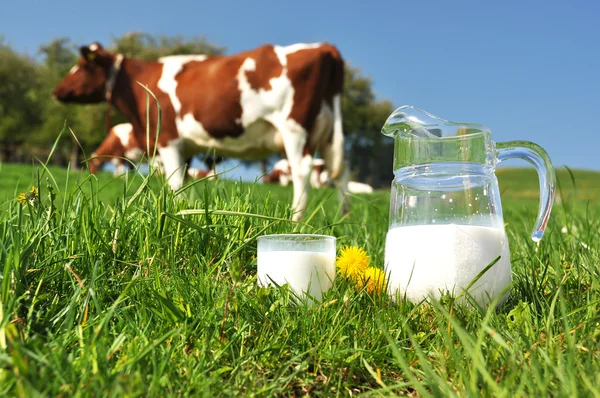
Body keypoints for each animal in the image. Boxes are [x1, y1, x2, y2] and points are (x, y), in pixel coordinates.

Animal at [55, 42, 352, 221]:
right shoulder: (184, 148)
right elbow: (184, 183)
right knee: (341, 173)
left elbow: (174, 183)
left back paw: (294, 220)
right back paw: (343, 219)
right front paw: (187, 211)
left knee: (302, 171)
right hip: (328, 133)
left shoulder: (169, 140)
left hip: (294, 130)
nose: (57, 90)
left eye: (82, 66)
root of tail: (324, 47)